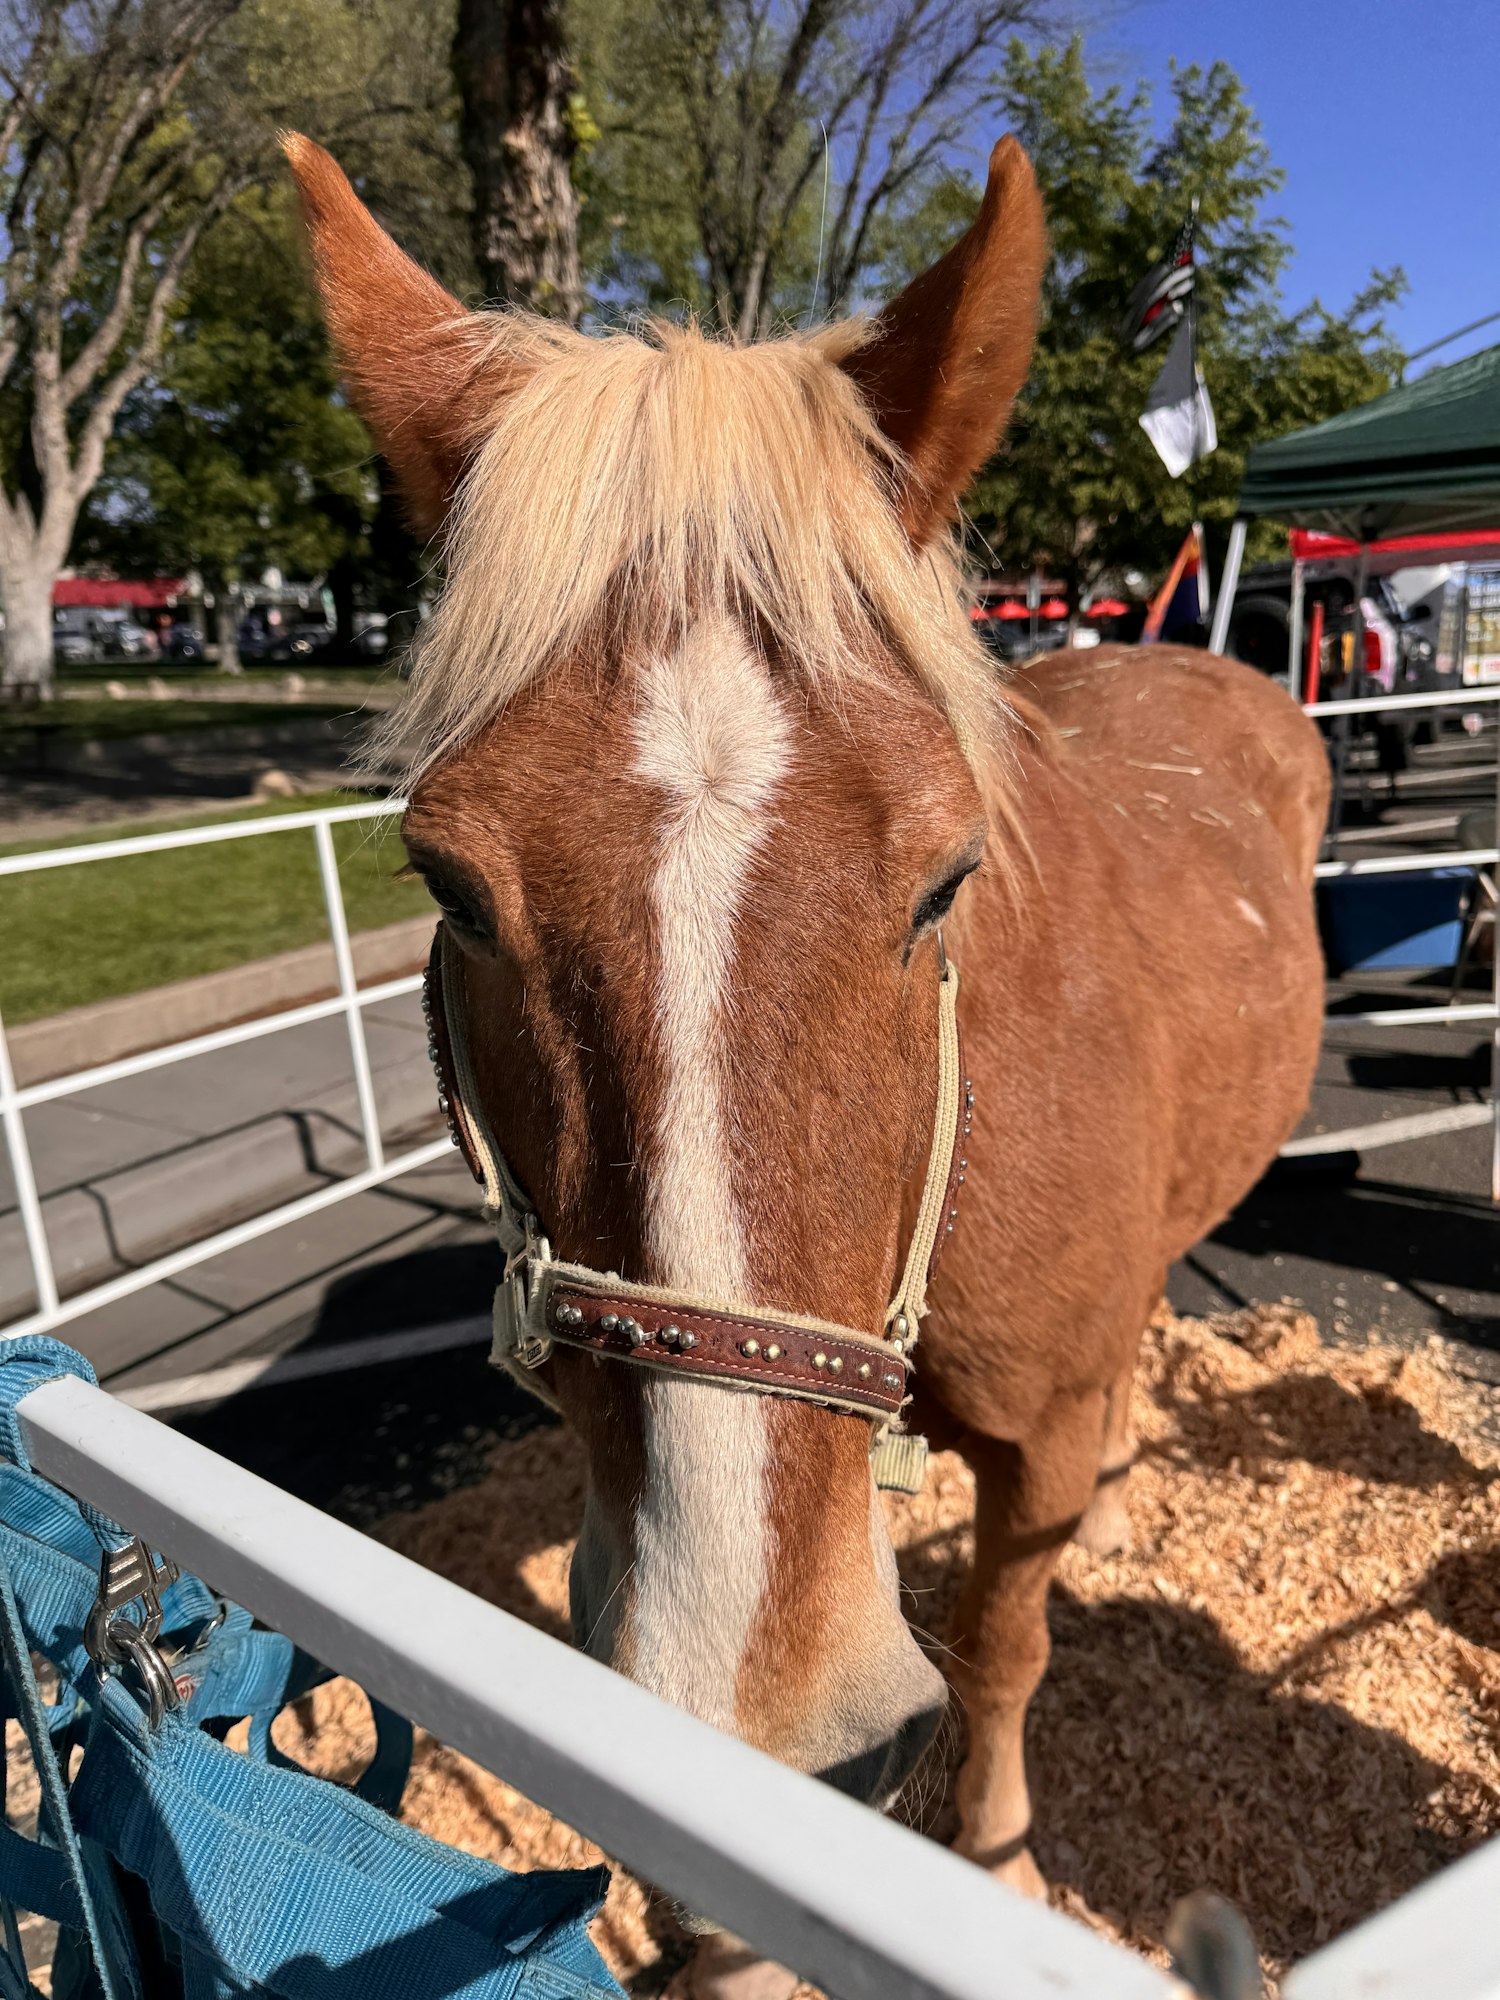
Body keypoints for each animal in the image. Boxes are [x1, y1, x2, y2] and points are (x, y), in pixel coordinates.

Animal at [285, 130, 1328, 1983]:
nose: (758, 1718)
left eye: (946, 877)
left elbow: (1002, 1645)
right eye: (450, 885)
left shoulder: (1026, 1447)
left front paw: (994, 1863)